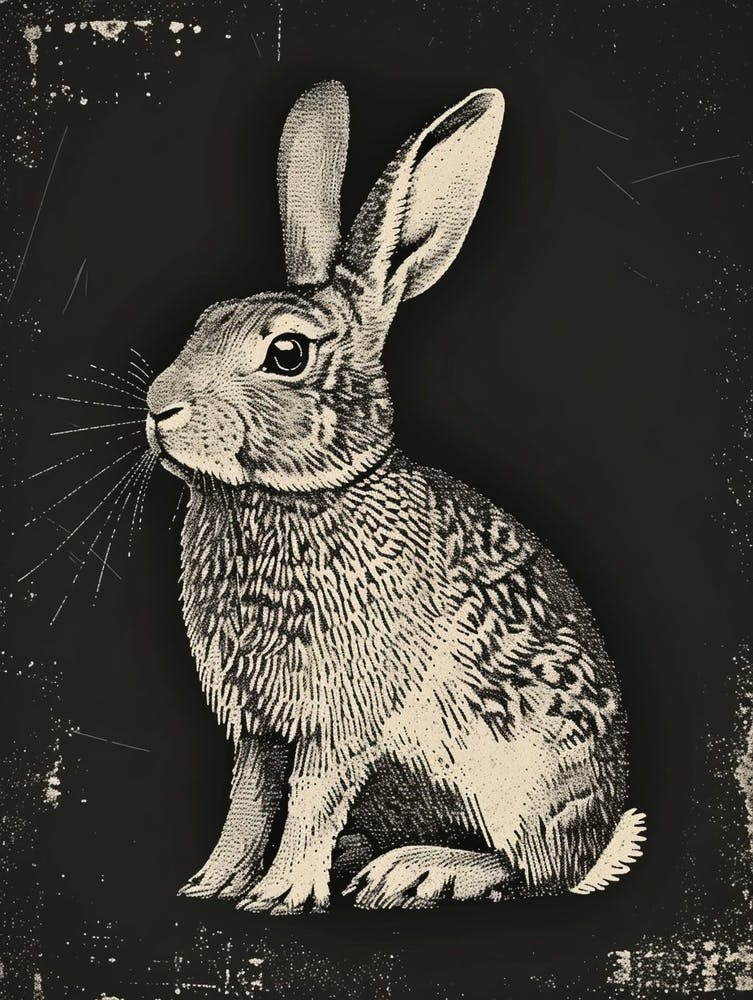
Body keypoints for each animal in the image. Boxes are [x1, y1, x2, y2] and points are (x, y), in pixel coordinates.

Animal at [145, 80, 645, 914]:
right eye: (203, 321)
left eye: (287, 353)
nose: (159, 409)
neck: (297, 494)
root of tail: (608, 836)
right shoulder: (257, 726)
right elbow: (248, 802)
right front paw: (210, 883)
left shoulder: (338, 718)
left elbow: (310, 797)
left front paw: (278, 894)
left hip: (527, 786)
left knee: (532, 872)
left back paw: (416, 872)